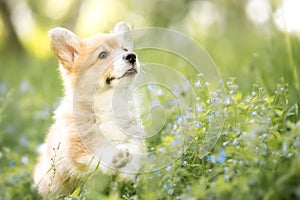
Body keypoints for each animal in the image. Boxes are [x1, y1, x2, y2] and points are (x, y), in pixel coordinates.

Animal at [33, 22, 146, 198]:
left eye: (125, 49)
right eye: (102, 55)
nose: (131, 56)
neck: (108, 103)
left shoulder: (136, 136)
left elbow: (136, 154)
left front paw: (126, 175)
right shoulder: (76, 147)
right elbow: (100, 150)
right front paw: (117, 155)